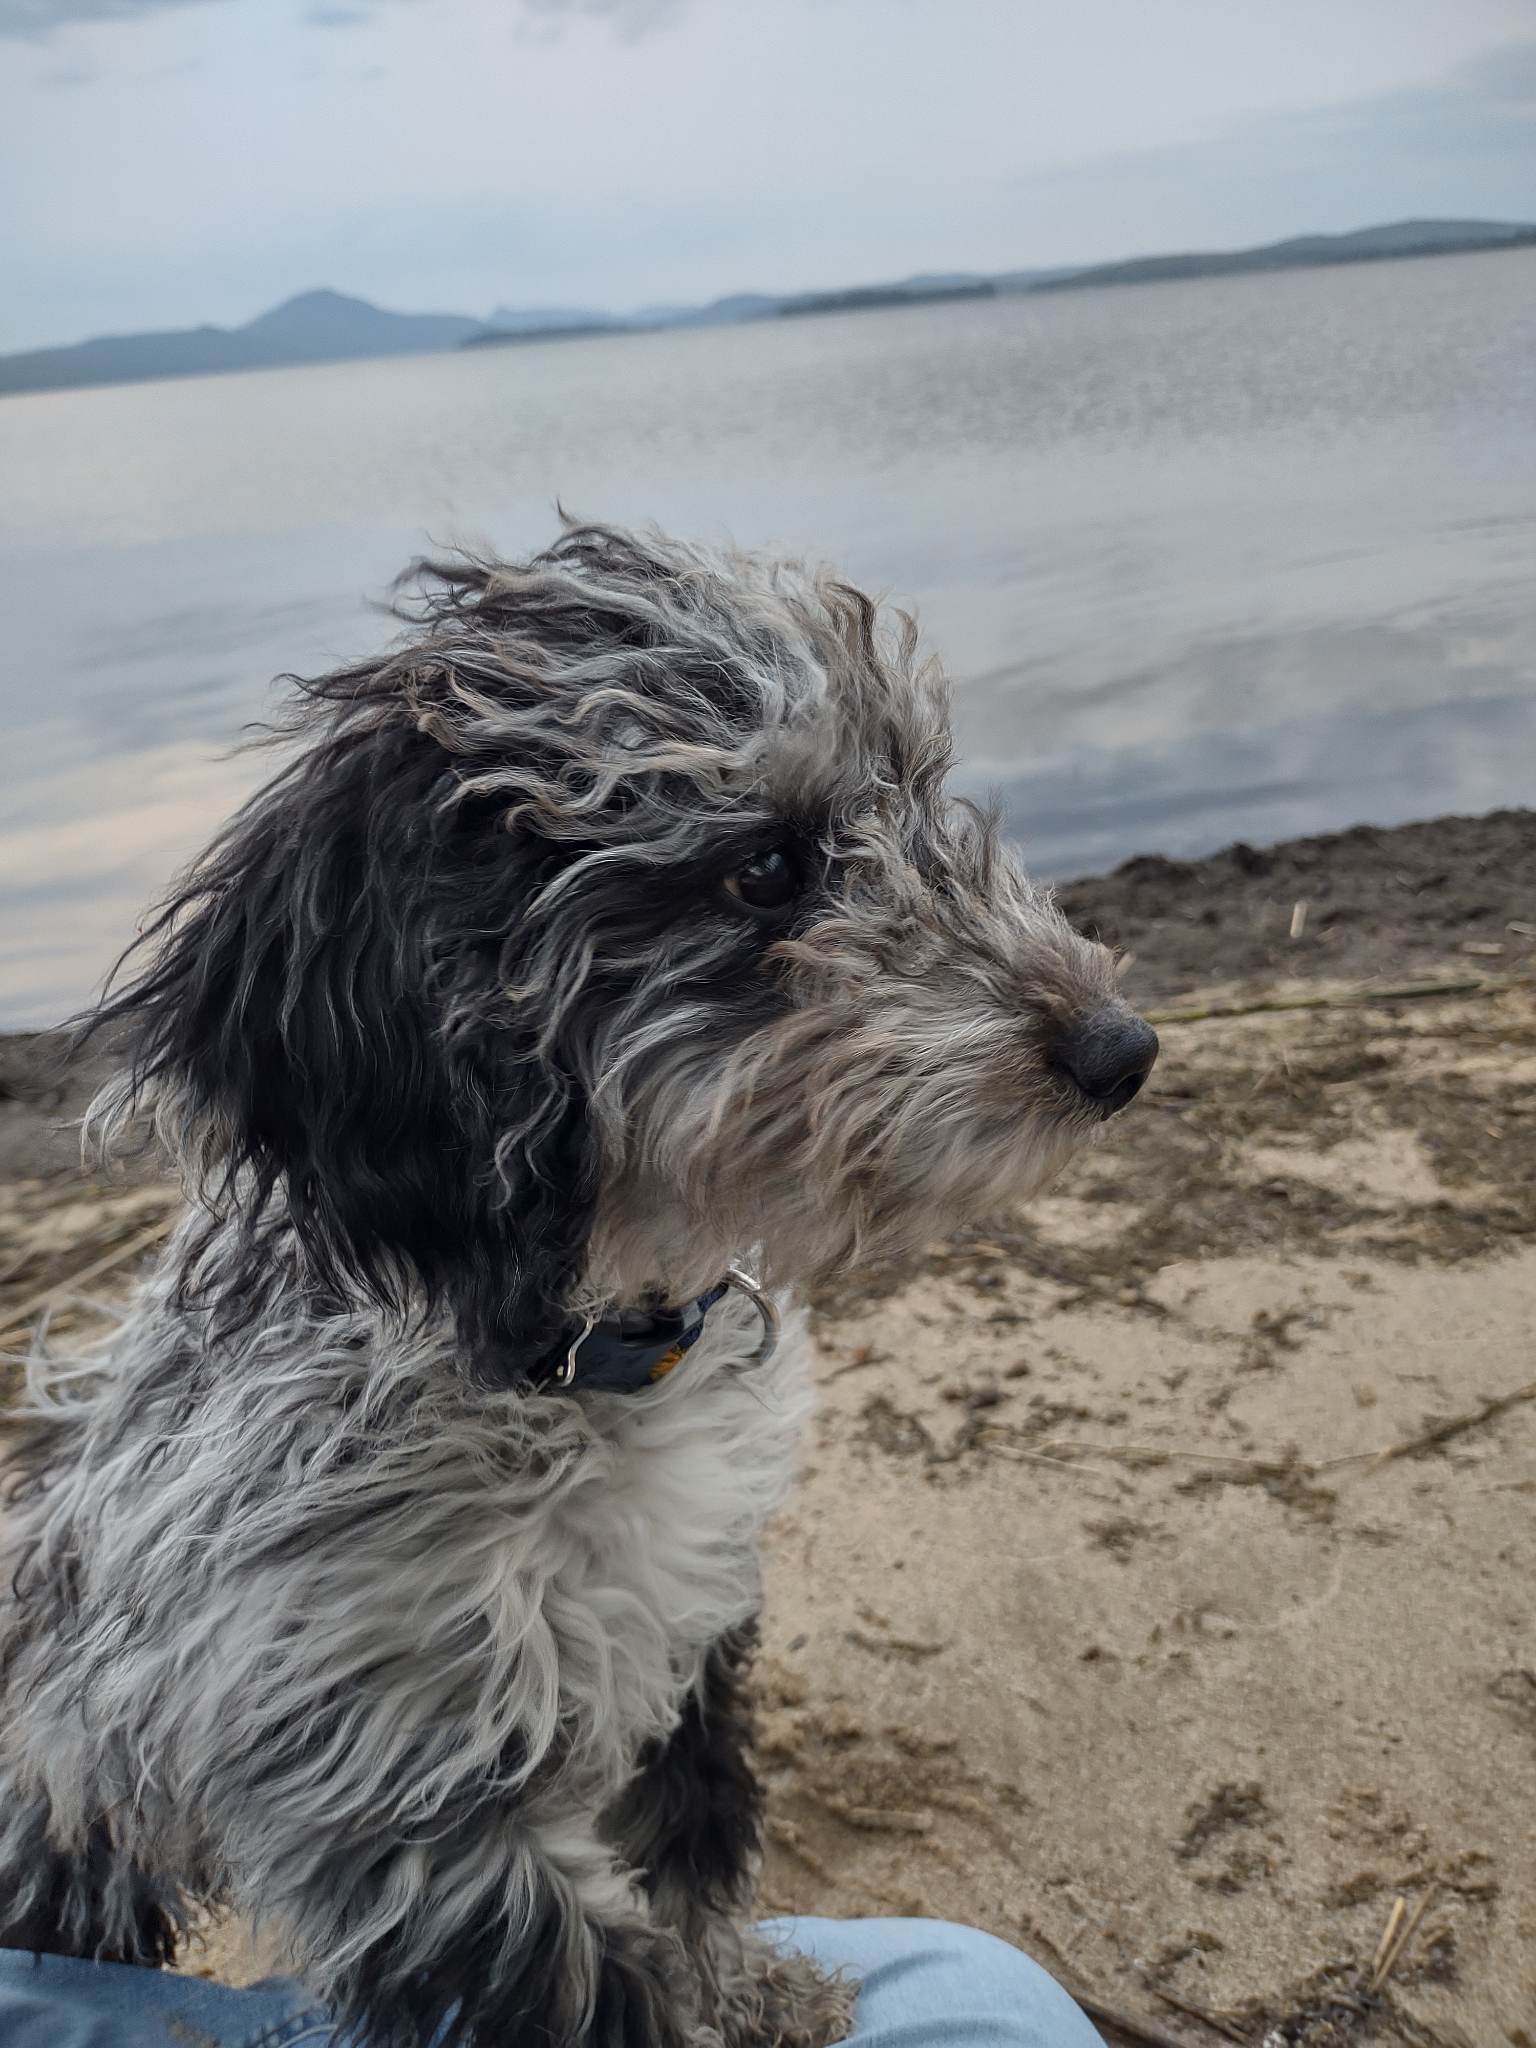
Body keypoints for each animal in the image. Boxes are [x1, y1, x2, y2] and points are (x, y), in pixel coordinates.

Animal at [0, 524, 1155, 2048]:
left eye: (920, 790)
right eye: (767, 866)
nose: (1120, 1048)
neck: (566, 1366)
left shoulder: (683, 1636)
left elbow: (682, 1848)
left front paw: (754, 1991)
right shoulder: (399, 1791)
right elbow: (593, 1978)